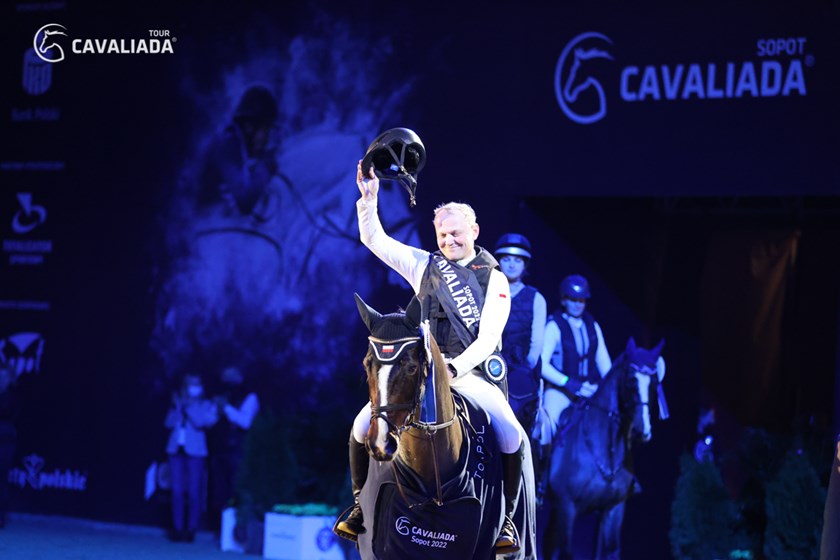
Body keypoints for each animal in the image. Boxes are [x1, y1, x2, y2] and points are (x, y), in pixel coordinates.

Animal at [542, 338, 666, 560]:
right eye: (631, 381)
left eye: (653, 384)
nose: (641, 431)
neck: (606, 449)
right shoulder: (567, 506)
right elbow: (566, 552)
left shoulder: (613, 510)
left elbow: (611, 551)